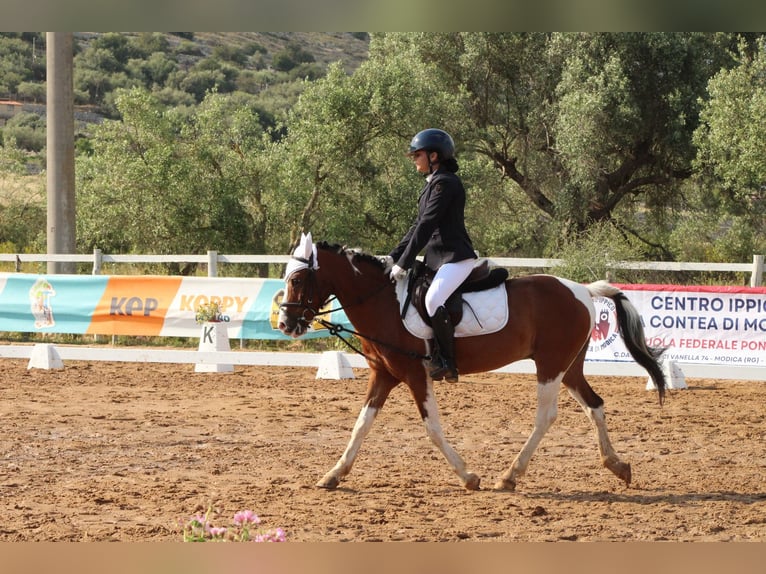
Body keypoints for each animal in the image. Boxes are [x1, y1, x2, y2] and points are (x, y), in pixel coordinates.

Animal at [278, 234, 664, 496]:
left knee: (546, 416)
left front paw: (468, 476)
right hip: (568, 368)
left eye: (296, 280)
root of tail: (583, 290)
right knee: (594, 405)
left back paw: (509, 476)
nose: (285, 324)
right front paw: (333, 474)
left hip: (551, 366)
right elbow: (361, 425)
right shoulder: (384, 374)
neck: (382, 301)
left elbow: (432, 429)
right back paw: (617, 466)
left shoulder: (416, 374)